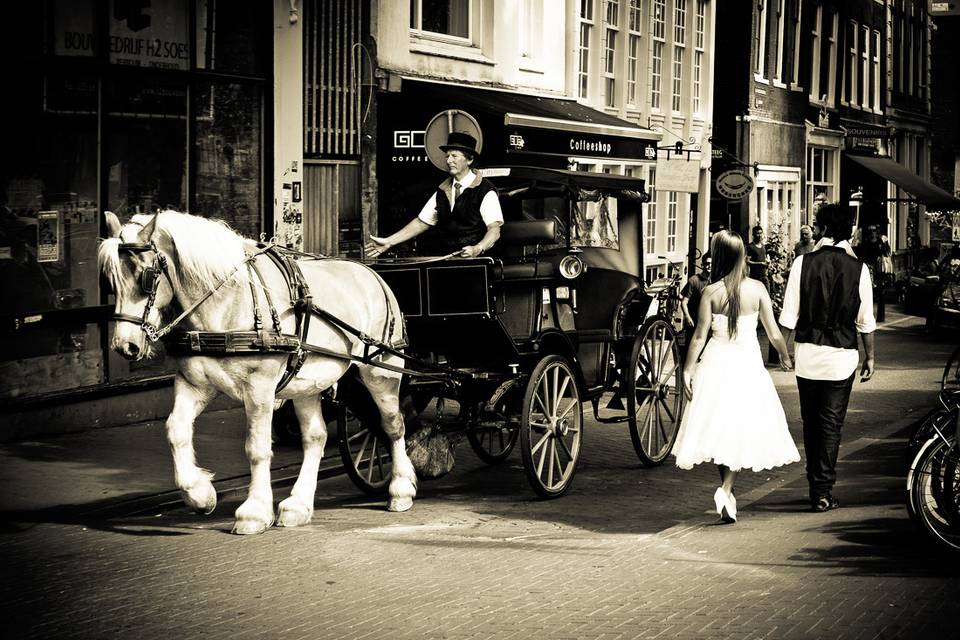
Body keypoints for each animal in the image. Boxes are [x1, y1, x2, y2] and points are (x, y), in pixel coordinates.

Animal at [99, 211, 418, 536]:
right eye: (109, 281)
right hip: (307, 381)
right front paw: (199, 494)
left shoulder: (259, 387)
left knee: (392, 425)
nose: (125, 345)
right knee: (315, 437)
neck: (226, 301)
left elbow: (257, 448)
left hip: (381, 371)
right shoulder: (195, 382)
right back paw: (298, 505)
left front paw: (253, 512)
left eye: (146, 277)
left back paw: (401, 490)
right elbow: (176, 429)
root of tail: (371, 273)